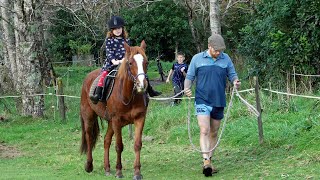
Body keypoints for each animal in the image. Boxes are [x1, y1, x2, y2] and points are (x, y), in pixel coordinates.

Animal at [80, 40, 149, 180]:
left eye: (146, 62)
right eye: (130, 63)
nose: (142, 85)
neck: (128, 96)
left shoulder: (139, 119)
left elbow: (137, 144)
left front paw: (137, 172)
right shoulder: (117, 121)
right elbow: (119, 146)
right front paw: (119, 171)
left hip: (110, 122)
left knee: (106, 141)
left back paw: (107, 168)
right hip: (89, 117)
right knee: (89, 138)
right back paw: (89, 165)